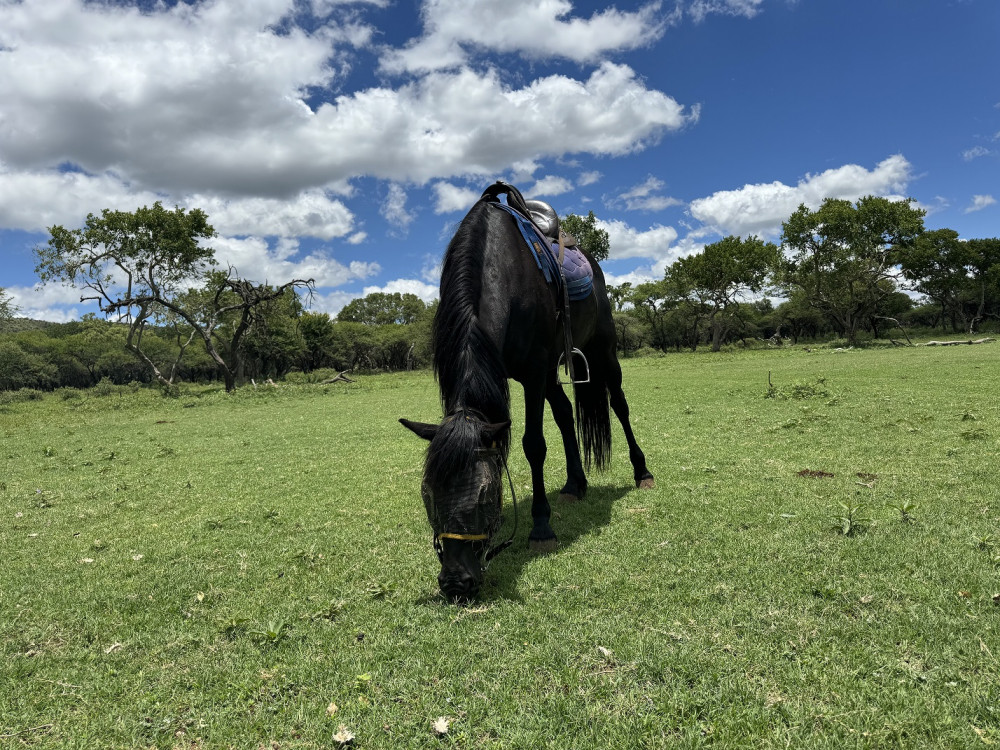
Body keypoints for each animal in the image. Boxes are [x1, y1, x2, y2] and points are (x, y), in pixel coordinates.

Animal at [400, 184, 656, 604]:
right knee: (566, 414)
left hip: (602, 351)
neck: (500, 269)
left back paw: (642, 472)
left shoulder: (534, 373)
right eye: (427, 495)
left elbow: (533, 444)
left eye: (485, 496)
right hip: (555, 372)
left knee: (619, 405)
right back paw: (574, 485)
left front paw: (541, 528)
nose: (455, 583)